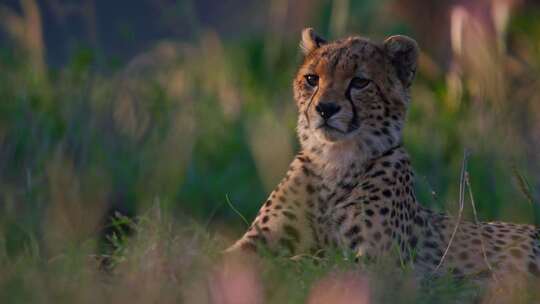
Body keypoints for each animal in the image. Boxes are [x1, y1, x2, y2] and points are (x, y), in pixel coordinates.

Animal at [227, 27, 540, 280]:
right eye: (312, 79)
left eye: (359, 82)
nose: (325, 108)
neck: (335, 161)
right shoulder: (255, 241)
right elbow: (227, 257)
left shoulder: (379, 262)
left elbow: (312, 263)